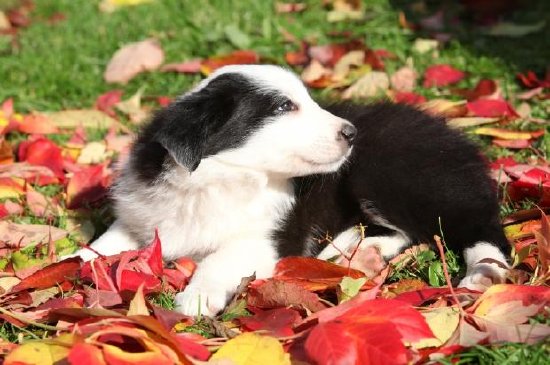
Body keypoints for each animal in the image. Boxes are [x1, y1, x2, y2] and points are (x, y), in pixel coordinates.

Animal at [75, 64, 512, 314]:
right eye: (285, 107)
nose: (350, 133)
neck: (219, 177)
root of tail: (456, 137)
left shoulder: (270, 234)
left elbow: (222, 257)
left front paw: (196, 298)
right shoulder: (143, 216)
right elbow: (102, 244)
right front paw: (70, 262)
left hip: (396, 173)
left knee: (476, 226)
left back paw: (484, 273)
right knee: (405, 230)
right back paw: (355, 252)